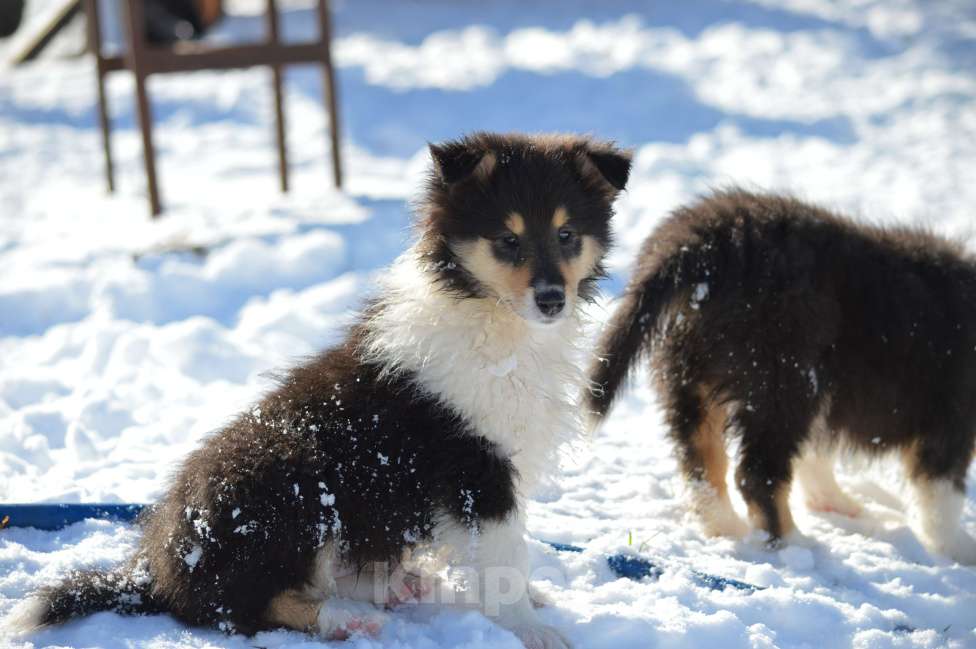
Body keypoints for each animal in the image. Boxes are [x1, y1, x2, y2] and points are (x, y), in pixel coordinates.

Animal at [13, 134, 632, 644]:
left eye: (566, 235)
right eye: (507, 239)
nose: (551, 300)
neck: (491, 317)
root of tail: (158, 569)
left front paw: (528, 601)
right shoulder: (474, 463)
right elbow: (503, 551)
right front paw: (530, 628)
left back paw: (398, 585)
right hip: (291, 477)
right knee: (234, 607)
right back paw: (346, 618)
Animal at [584, 189, 976, 560]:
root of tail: (703, 244)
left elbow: (816, 455)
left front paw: (837, 504)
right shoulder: (951, 419)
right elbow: (941, 495)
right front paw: (957, 551)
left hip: (688, 372)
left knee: (701, 462)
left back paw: (727, 528)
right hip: (782, 376)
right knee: (756, 474)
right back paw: (791, 542)